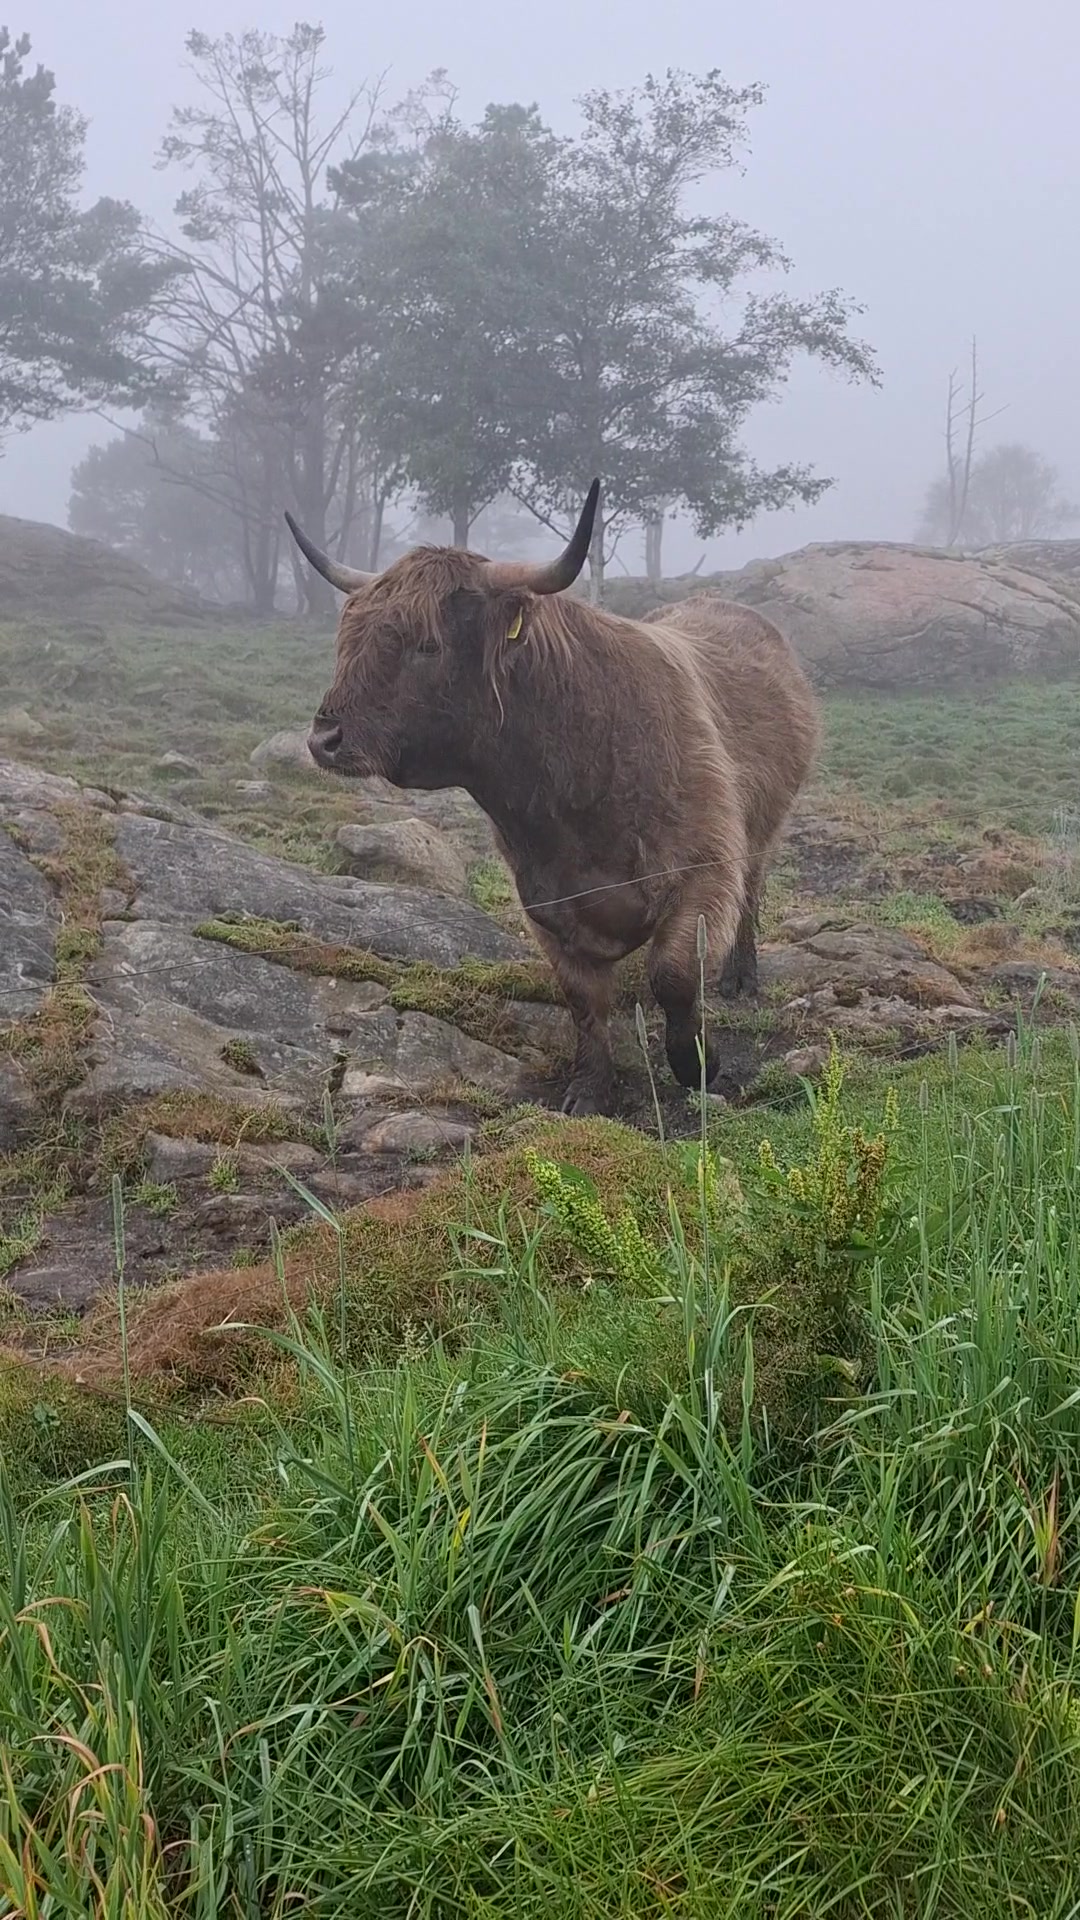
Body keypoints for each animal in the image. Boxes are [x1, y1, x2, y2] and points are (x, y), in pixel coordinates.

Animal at [285, 482, 820, 1117]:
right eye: (348, 638)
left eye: (428, 645)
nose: (324, 738)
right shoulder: (545, 901)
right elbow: (584, 1002)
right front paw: (589, 1090)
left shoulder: (704, 869)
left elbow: (674, 974)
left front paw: (697, 1065)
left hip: (765, 826)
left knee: (753, 891)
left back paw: (740, 977)